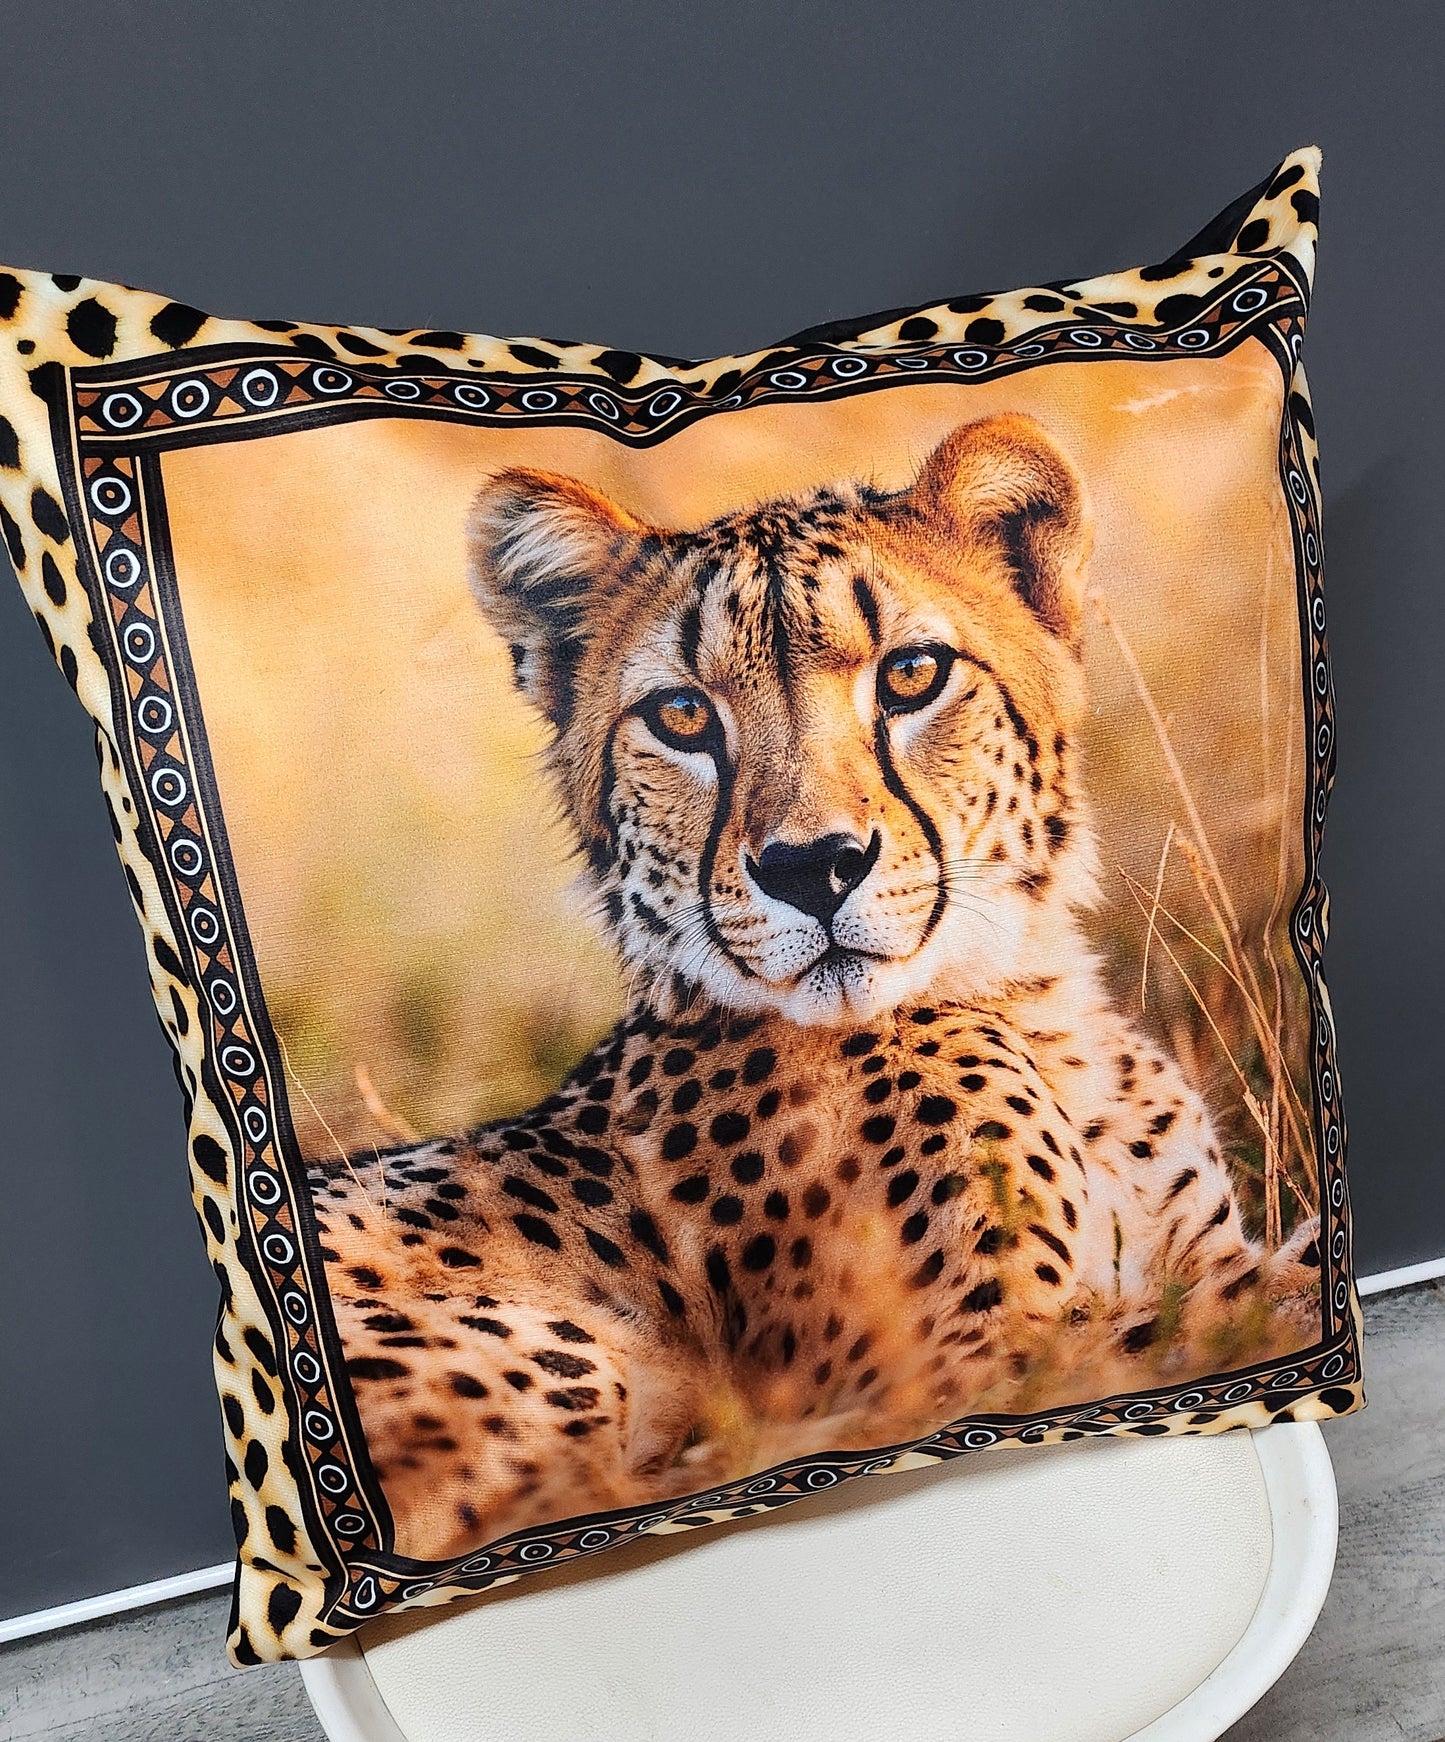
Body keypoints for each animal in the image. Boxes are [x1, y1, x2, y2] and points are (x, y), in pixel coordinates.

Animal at [308, 412, 1321, 1561]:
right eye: (681, 716)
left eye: (913, 673)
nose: (812, 866)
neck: (1027, 1002)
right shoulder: (976, 1352)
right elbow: (1215, 1320)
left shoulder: (1199, 1257)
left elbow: (1272, 1280)